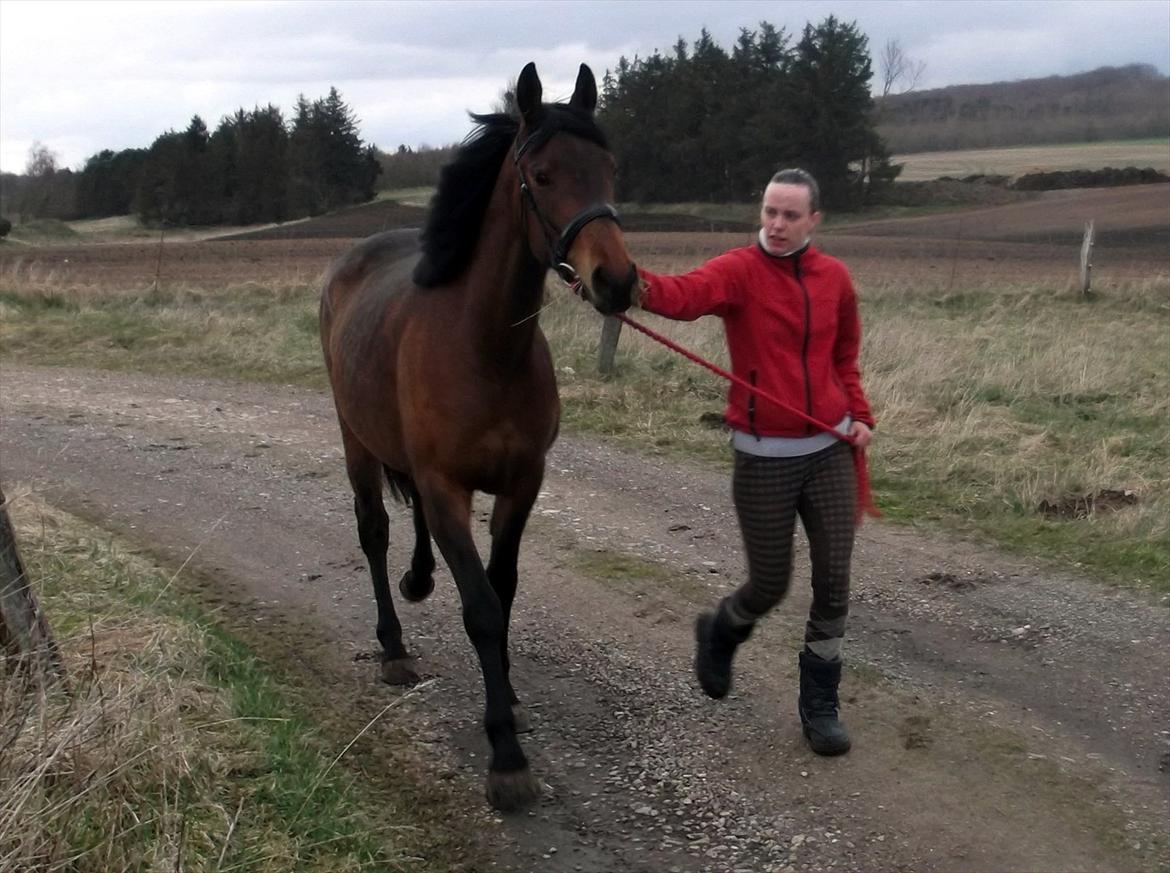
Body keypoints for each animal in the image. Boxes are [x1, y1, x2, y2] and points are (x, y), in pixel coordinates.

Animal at [318, 62, 641, 809]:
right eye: (543, 175)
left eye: (610, 168)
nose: (616, 280)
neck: (485, 347)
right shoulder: (448, 488)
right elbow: (483, 609)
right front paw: (506, 755)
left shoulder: (522, 484)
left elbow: (505, 588)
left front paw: (511, 696)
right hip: (356, 443)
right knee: (373, 530)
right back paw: (393, 646)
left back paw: (417, 579)